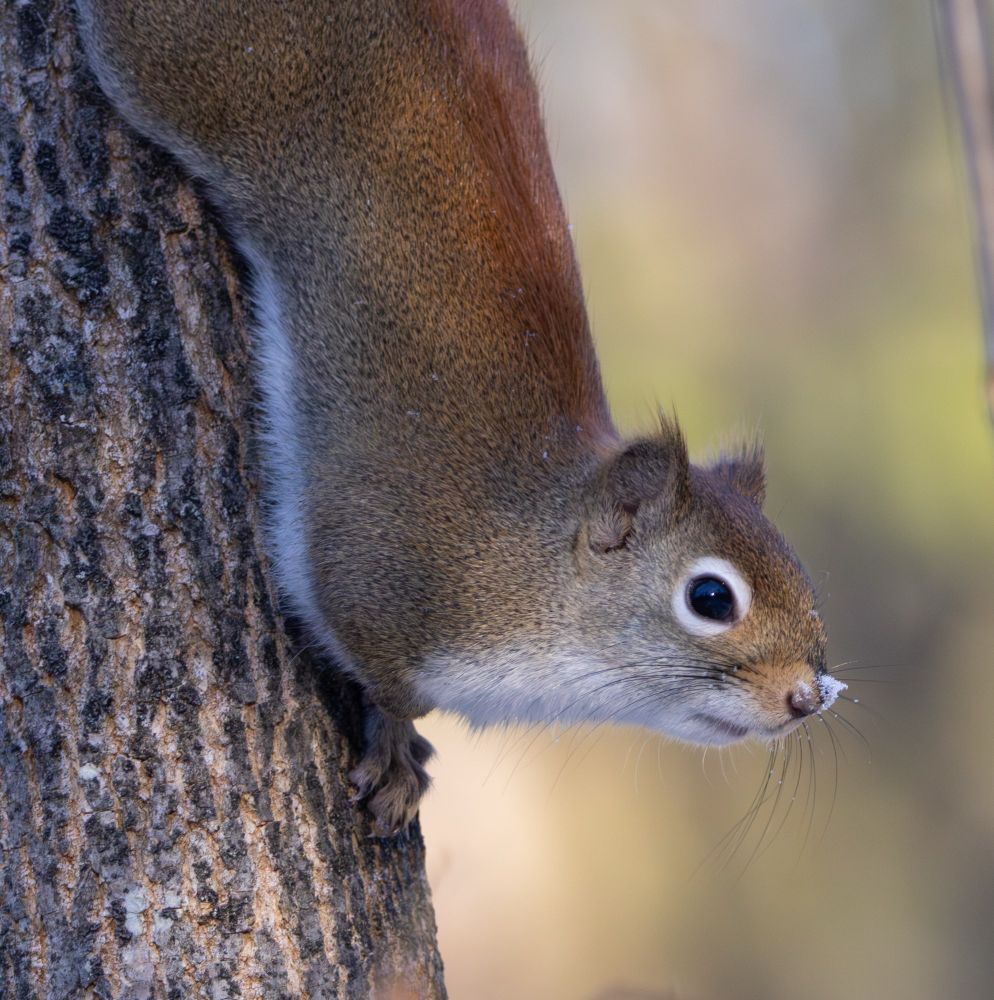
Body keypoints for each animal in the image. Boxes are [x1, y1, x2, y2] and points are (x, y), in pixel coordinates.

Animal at [76, 0, 843, 835]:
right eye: (710, 598)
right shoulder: (373, 562)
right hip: (167, 65)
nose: (808, 698)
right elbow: (383, 674)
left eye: (800, 572)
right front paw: (395, 744)